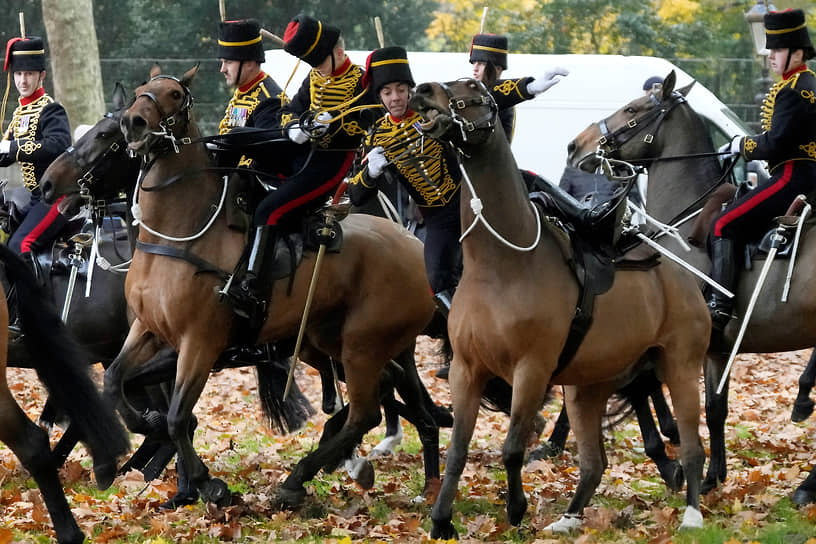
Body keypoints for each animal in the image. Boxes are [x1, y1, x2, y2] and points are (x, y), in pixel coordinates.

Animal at [41, 65, 444, 510]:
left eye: (106, 136)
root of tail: (415, 246)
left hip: (362, 345)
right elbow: (117, 381)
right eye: (140, 93)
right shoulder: (147, 331)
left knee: (369, 411)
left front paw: (206, 484)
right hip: (327, 343)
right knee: (382, 394)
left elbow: (177, 416)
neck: (178, 235)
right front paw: (148, 453)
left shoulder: (199, 344)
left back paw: (319, 476)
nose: (47, 183)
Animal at [412, 78, 712, 536]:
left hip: (679, 367)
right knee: (593, 463)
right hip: (588, 388)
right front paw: (442, 520)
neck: (502, 265)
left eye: (475, 89)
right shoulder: (467, 370)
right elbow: (458, 450)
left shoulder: (531, 372)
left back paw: (692, 515)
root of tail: (683, 276)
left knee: (693, 448)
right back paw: (569, 519)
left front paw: (516, 511)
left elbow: (512, 447)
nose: (423, 90)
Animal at [568, 70, 816, 504]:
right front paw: (714, 474)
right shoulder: (716, 347)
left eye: (632, 109)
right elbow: (715, 408)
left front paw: (681, 466)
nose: (576, 145)